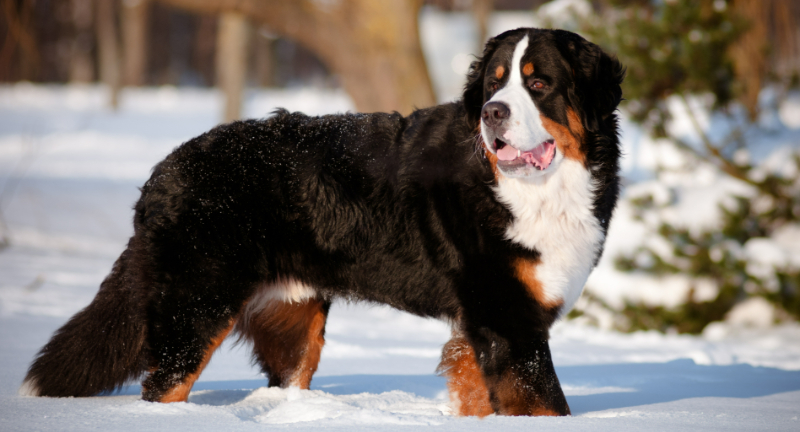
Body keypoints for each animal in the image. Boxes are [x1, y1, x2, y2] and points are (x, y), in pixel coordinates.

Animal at [20, 27, 624, 418]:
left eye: (539, 84)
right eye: (494, 86)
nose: (492, 113)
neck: (538, 192)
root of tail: (165, 168)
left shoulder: (489, 325)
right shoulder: (509, 320)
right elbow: (548, 406)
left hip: (292, 324)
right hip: (195, 309)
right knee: (163, 387)